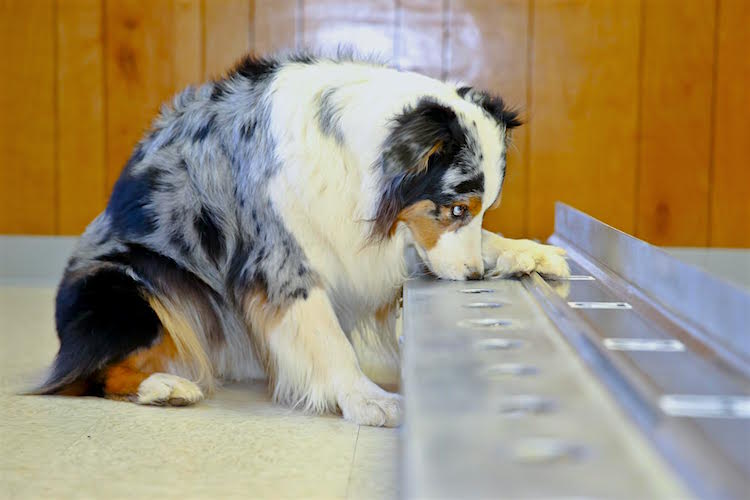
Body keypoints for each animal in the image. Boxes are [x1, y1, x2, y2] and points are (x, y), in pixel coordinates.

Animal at [32, 51, 568, 426]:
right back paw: (164, 386)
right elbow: (327, 336)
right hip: (123, 287)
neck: (353, 155)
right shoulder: (279, 258)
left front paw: (530, 253)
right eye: (457, 208)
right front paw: (367, 399)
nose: (473, 276)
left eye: (482, 211)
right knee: (88, 373)